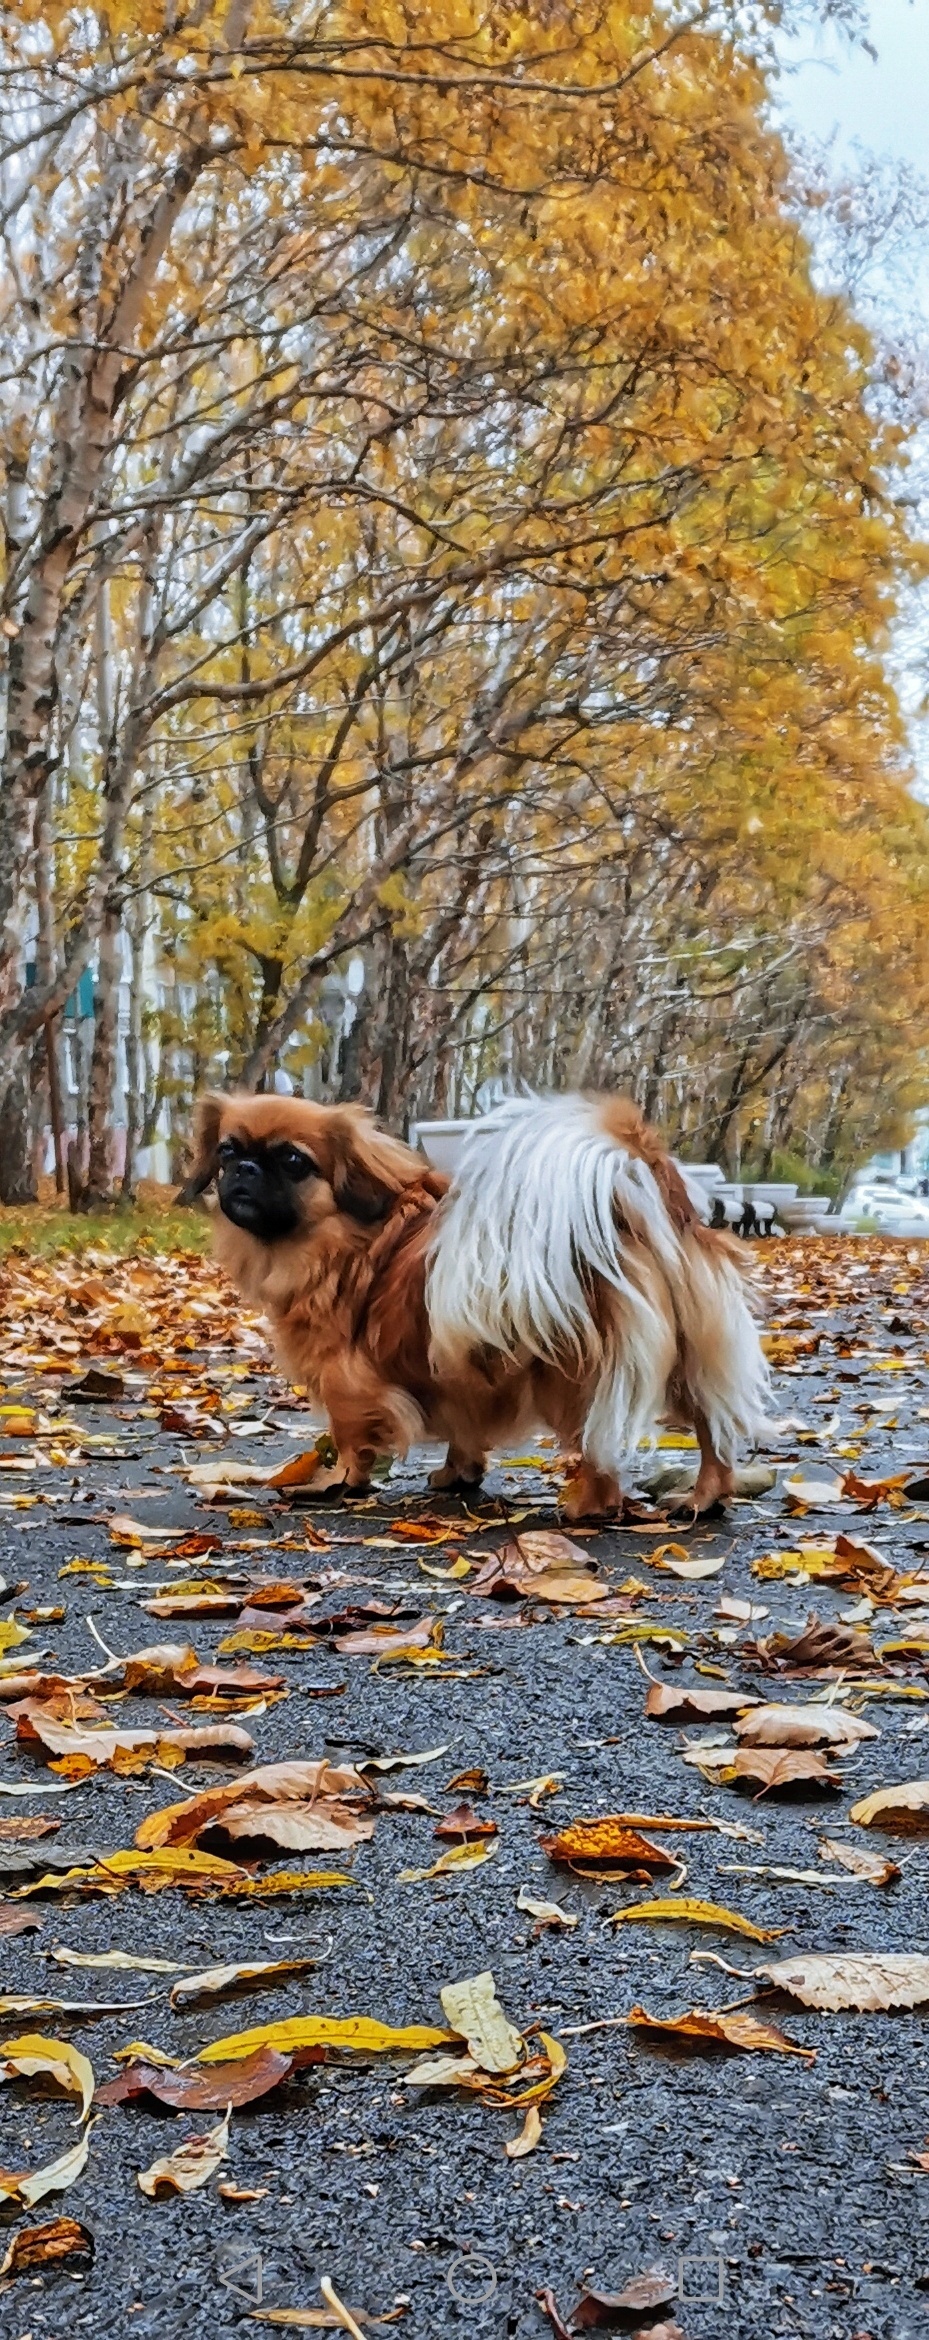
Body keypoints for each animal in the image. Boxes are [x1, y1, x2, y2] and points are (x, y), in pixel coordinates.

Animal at [186, 1085, 767, 1506]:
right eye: (227, 1151)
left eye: (292, 1160)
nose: (244, 1169)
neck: (348, 1237)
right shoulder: (453, 1375)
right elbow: (463, 1432)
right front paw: (457, 1474)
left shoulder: (346, 1379)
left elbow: (352, 1438)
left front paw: (338, 1482)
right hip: (687, 1360)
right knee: (714, 1430)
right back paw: (705, 1497)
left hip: (573, 1378)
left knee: (600, 1452)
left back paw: (588, 1506)